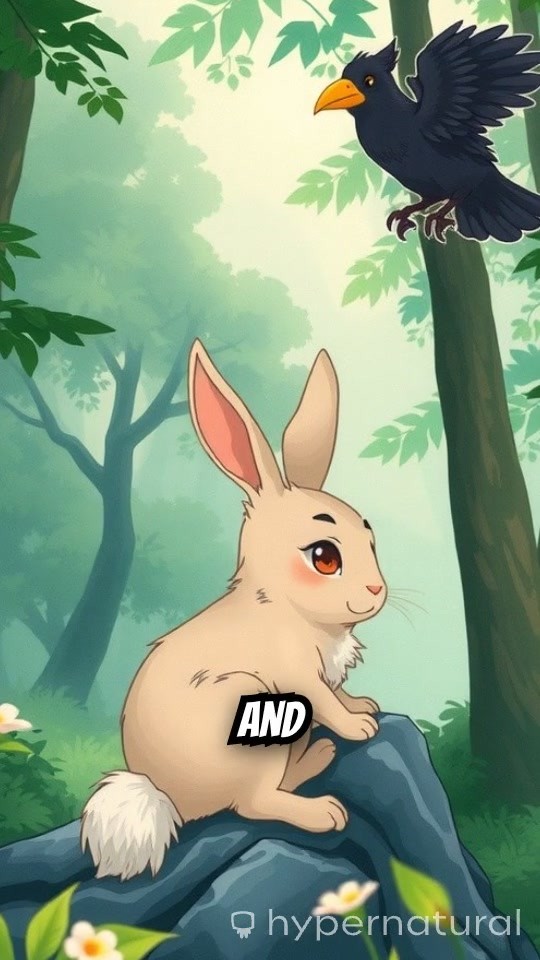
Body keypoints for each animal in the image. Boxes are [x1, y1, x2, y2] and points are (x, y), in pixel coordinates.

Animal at [81, 339, 387, 880]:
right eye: (324, 557)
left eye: (371, 537)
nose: (377, 590)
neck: (287, 606)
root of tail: (164, 795)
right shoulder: (299, 675)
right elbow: (326, 701)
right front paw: (359, 727)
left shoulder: (327, 675)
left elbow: (340, 695)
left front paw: (363, 707)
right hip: (256, 723)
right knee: (254, 803)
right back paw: (323, 806)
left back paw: (317, 755)